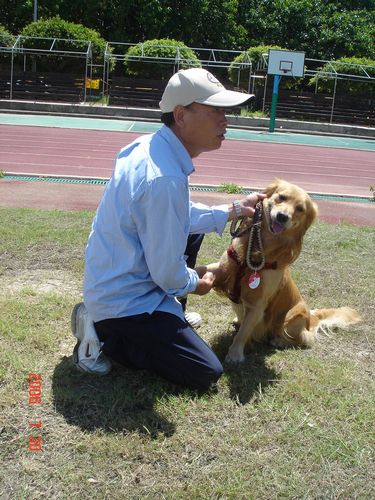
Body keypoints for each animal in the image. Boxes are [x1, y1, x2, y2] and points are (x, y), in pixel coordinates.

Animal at [204, 179, 362, 364]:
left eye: (300, 209)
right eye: (281, 197)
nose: (282, 216)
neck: (260, 247)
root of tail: (312, 317)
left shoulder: (258, 302)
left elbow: (243, 333)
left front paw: (234, 355)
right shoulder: (224, 268)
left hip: (292, 317)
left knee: (304, 339)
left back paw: (278, 340)